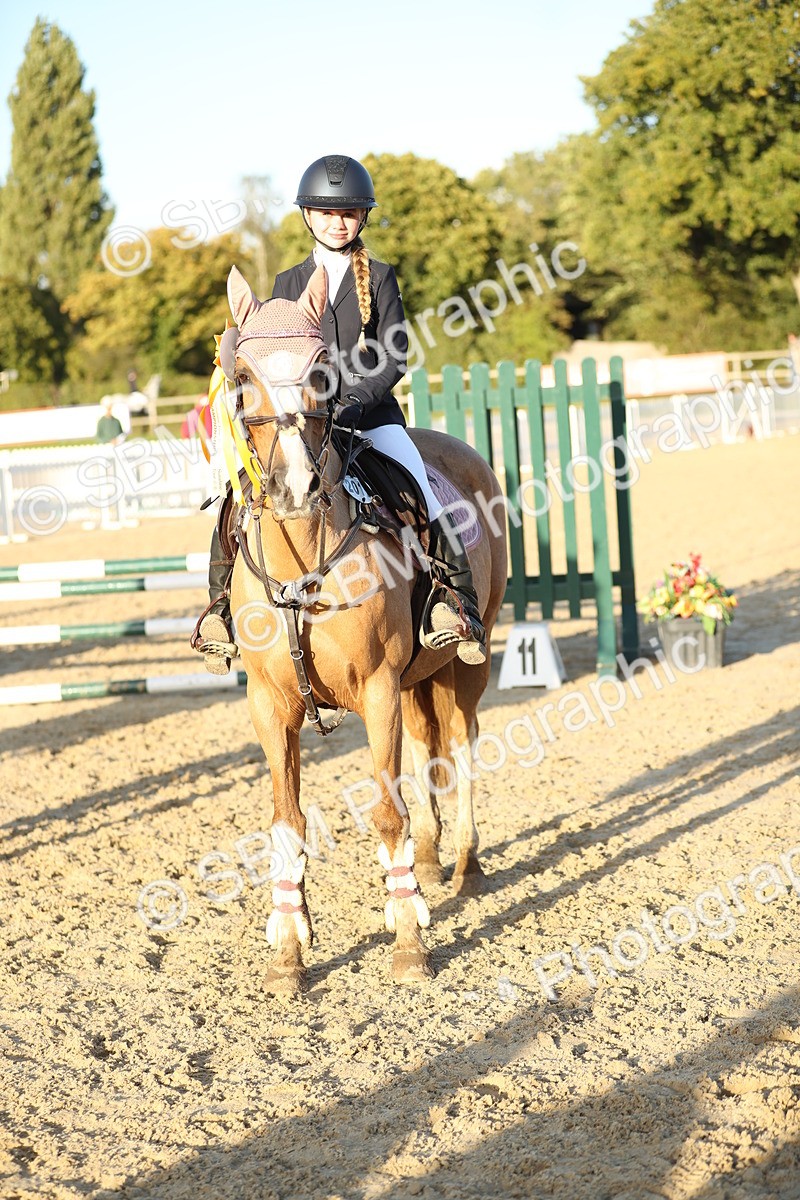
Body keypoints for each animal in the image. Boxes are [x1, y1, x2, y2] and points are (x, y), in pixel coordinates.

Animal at [221, 264, 508, 992]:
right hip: (418, 678)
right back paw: (429, 858)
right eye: (242, 376)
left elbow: (386, 810)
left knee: (461, 745)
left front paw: (408, 942)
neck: (304, 556)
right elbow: (287, 820)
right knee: (429, 743)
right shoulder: (270, 705)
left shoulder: (378, 687)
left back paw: (464, 865)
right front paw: (289, 951)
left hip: (470, 656)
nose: (294, 489)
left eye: (323, 372)